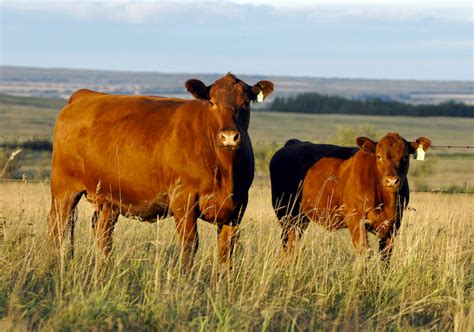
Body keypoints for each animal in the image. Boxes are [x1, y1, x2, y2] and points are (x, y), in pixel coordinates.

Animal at [48, 72, 274, 268]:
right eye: (212, 102)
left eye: (246, 103)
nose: (229, 137)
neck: (225, 171)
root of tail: (85, 95)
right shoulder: (184, 200)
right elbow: (189, 245)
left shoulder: (237, 207)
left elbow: (226, 251)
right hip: (64, 188)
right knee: (57, 227)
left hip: (108, 198)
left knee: (103, 233)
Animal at [270, 134, 430, 260]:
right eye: (378, 156)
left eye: (405, 157)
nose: (391, 181)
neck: (387, 201)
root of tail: (293, 143)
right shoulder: (356, 220)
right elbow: (364, 252)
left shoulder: (393, 226)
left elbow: (385, 257)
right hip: (286, 214)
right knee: (286, 244)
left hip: (300, 219)